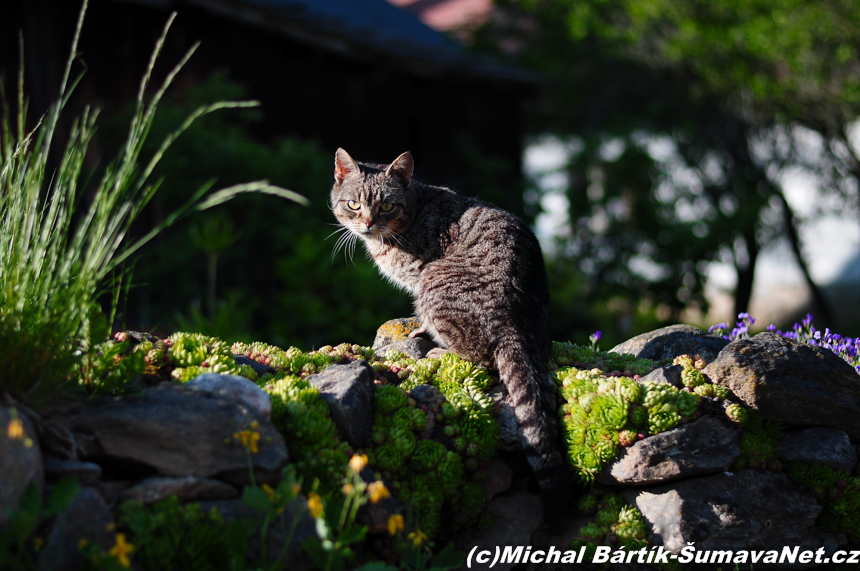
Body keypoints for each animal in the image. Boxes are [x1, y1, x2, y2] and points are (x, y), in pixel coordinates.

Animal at [332, 149, 568, 524]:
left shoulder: (419, 277)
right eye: (354, 205)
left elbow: (422, 319)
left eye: (387, 206)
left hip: (435, 281)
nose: (367, 224)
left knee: (480, 357)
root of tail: (514, 326)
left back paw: (440, 351)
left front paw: (418, 329)